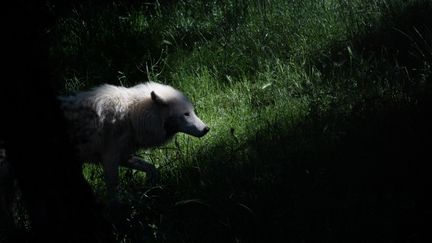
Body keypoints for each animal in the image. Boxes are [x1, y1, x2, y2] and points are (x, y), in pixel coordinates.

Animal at [58, 81, 209, 197]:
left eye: (192, 112)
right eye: (186, 114)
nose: (206, 129)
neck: (132, 116)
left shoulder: (124, 157)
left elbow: (152, 168)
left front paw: (151, 189)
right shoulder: (110, 159)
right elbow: (113, 191)